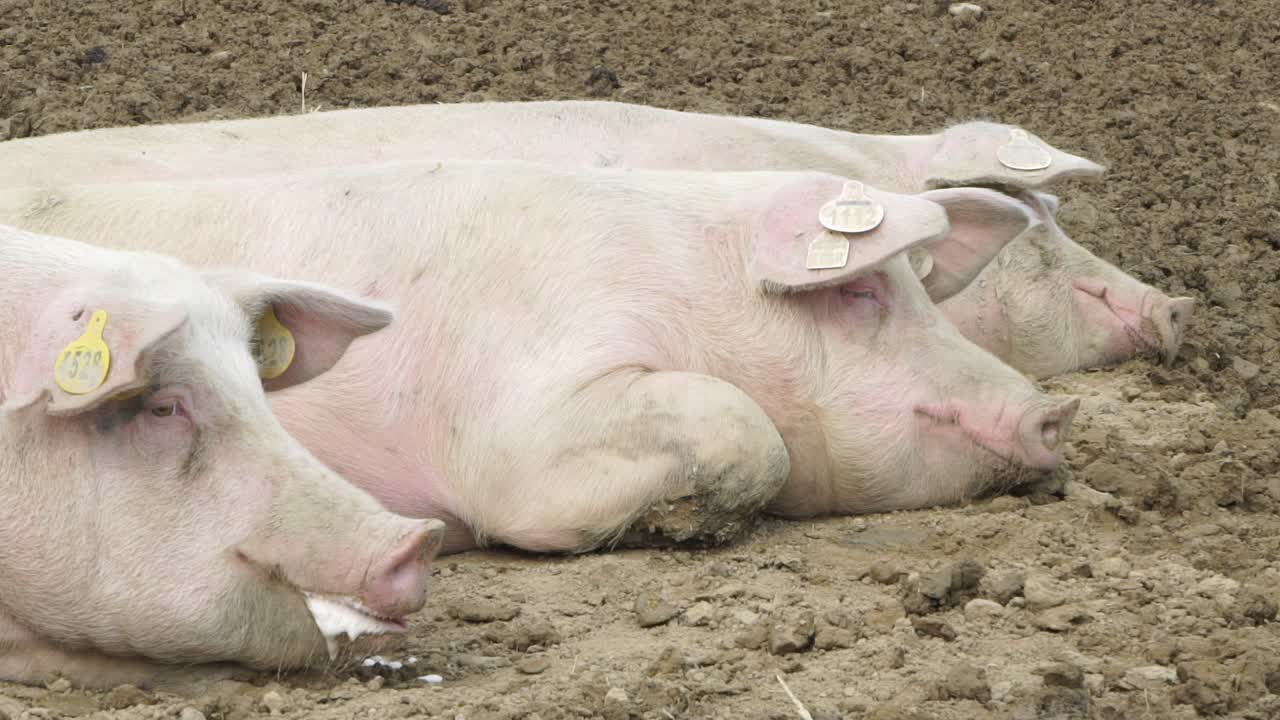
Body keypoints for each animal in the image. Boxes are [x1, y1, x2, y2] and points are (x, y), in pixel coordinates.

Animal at [0, 159, 1081, 556]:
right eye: (860, 293)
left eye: (918, 294)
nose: (1051, 410)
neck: (681, 290)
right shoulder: (518, 422)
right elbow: (741, 427)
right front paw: (682, 525)